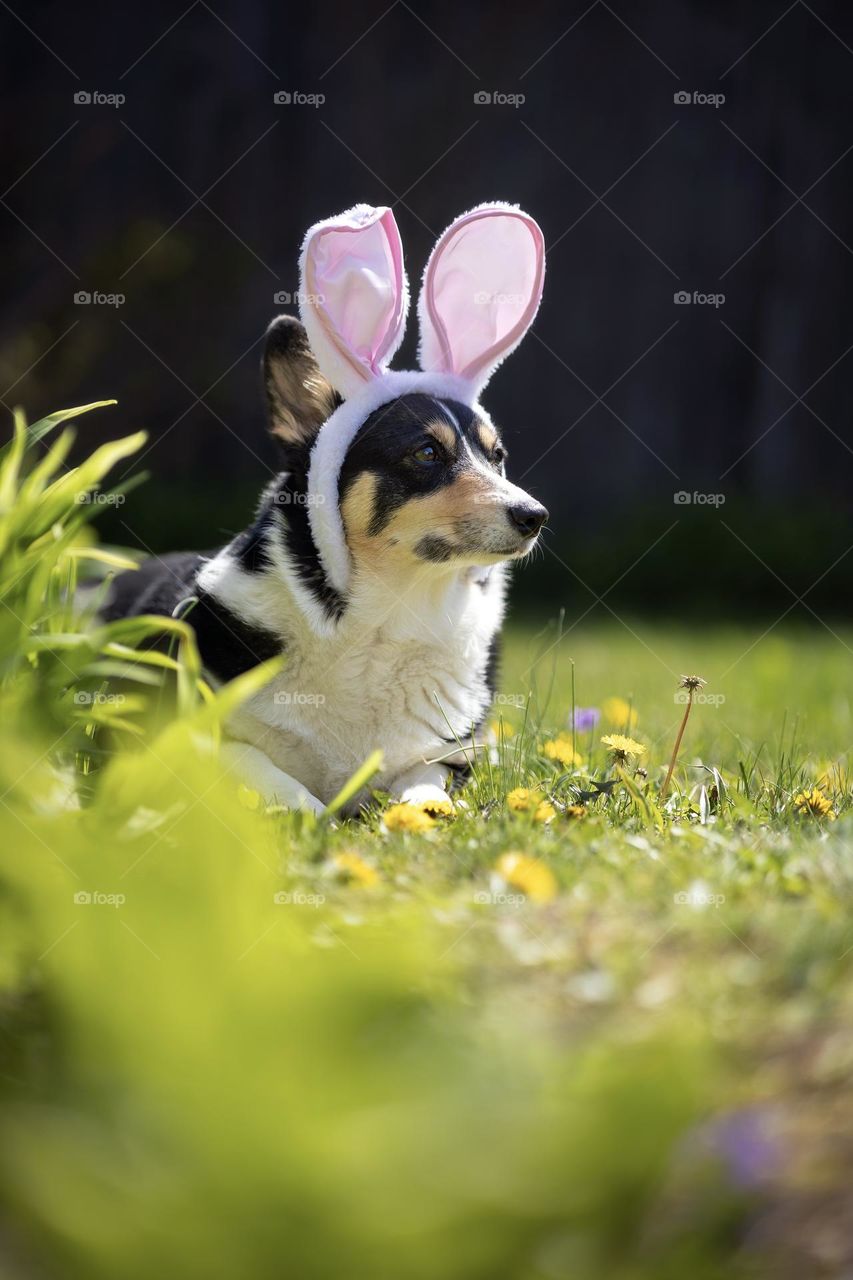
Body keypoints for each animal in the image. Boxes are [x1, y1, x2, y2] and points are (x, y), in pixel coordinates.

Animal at [101, 204, 545, 814]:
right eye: (427, 453)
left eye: (497, 457)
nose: (535, 517)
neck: (383, 623)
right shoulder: (193, 741)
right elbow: (274, 779)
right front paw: (314, 822)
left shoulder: (448, 758)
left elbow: (421, 789)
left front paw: (416, 815)